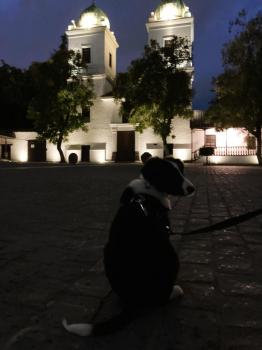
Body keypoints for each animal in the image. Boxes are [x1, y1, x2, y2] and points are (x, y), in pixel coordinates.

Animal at [63, 157, 194, 334]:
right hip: (171, 255)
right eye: (171, 175)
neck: (148, 191)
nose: (192, 188)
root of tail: (134, 301)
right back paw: (175, 291)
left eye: (181, 171)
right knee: (161, 298)